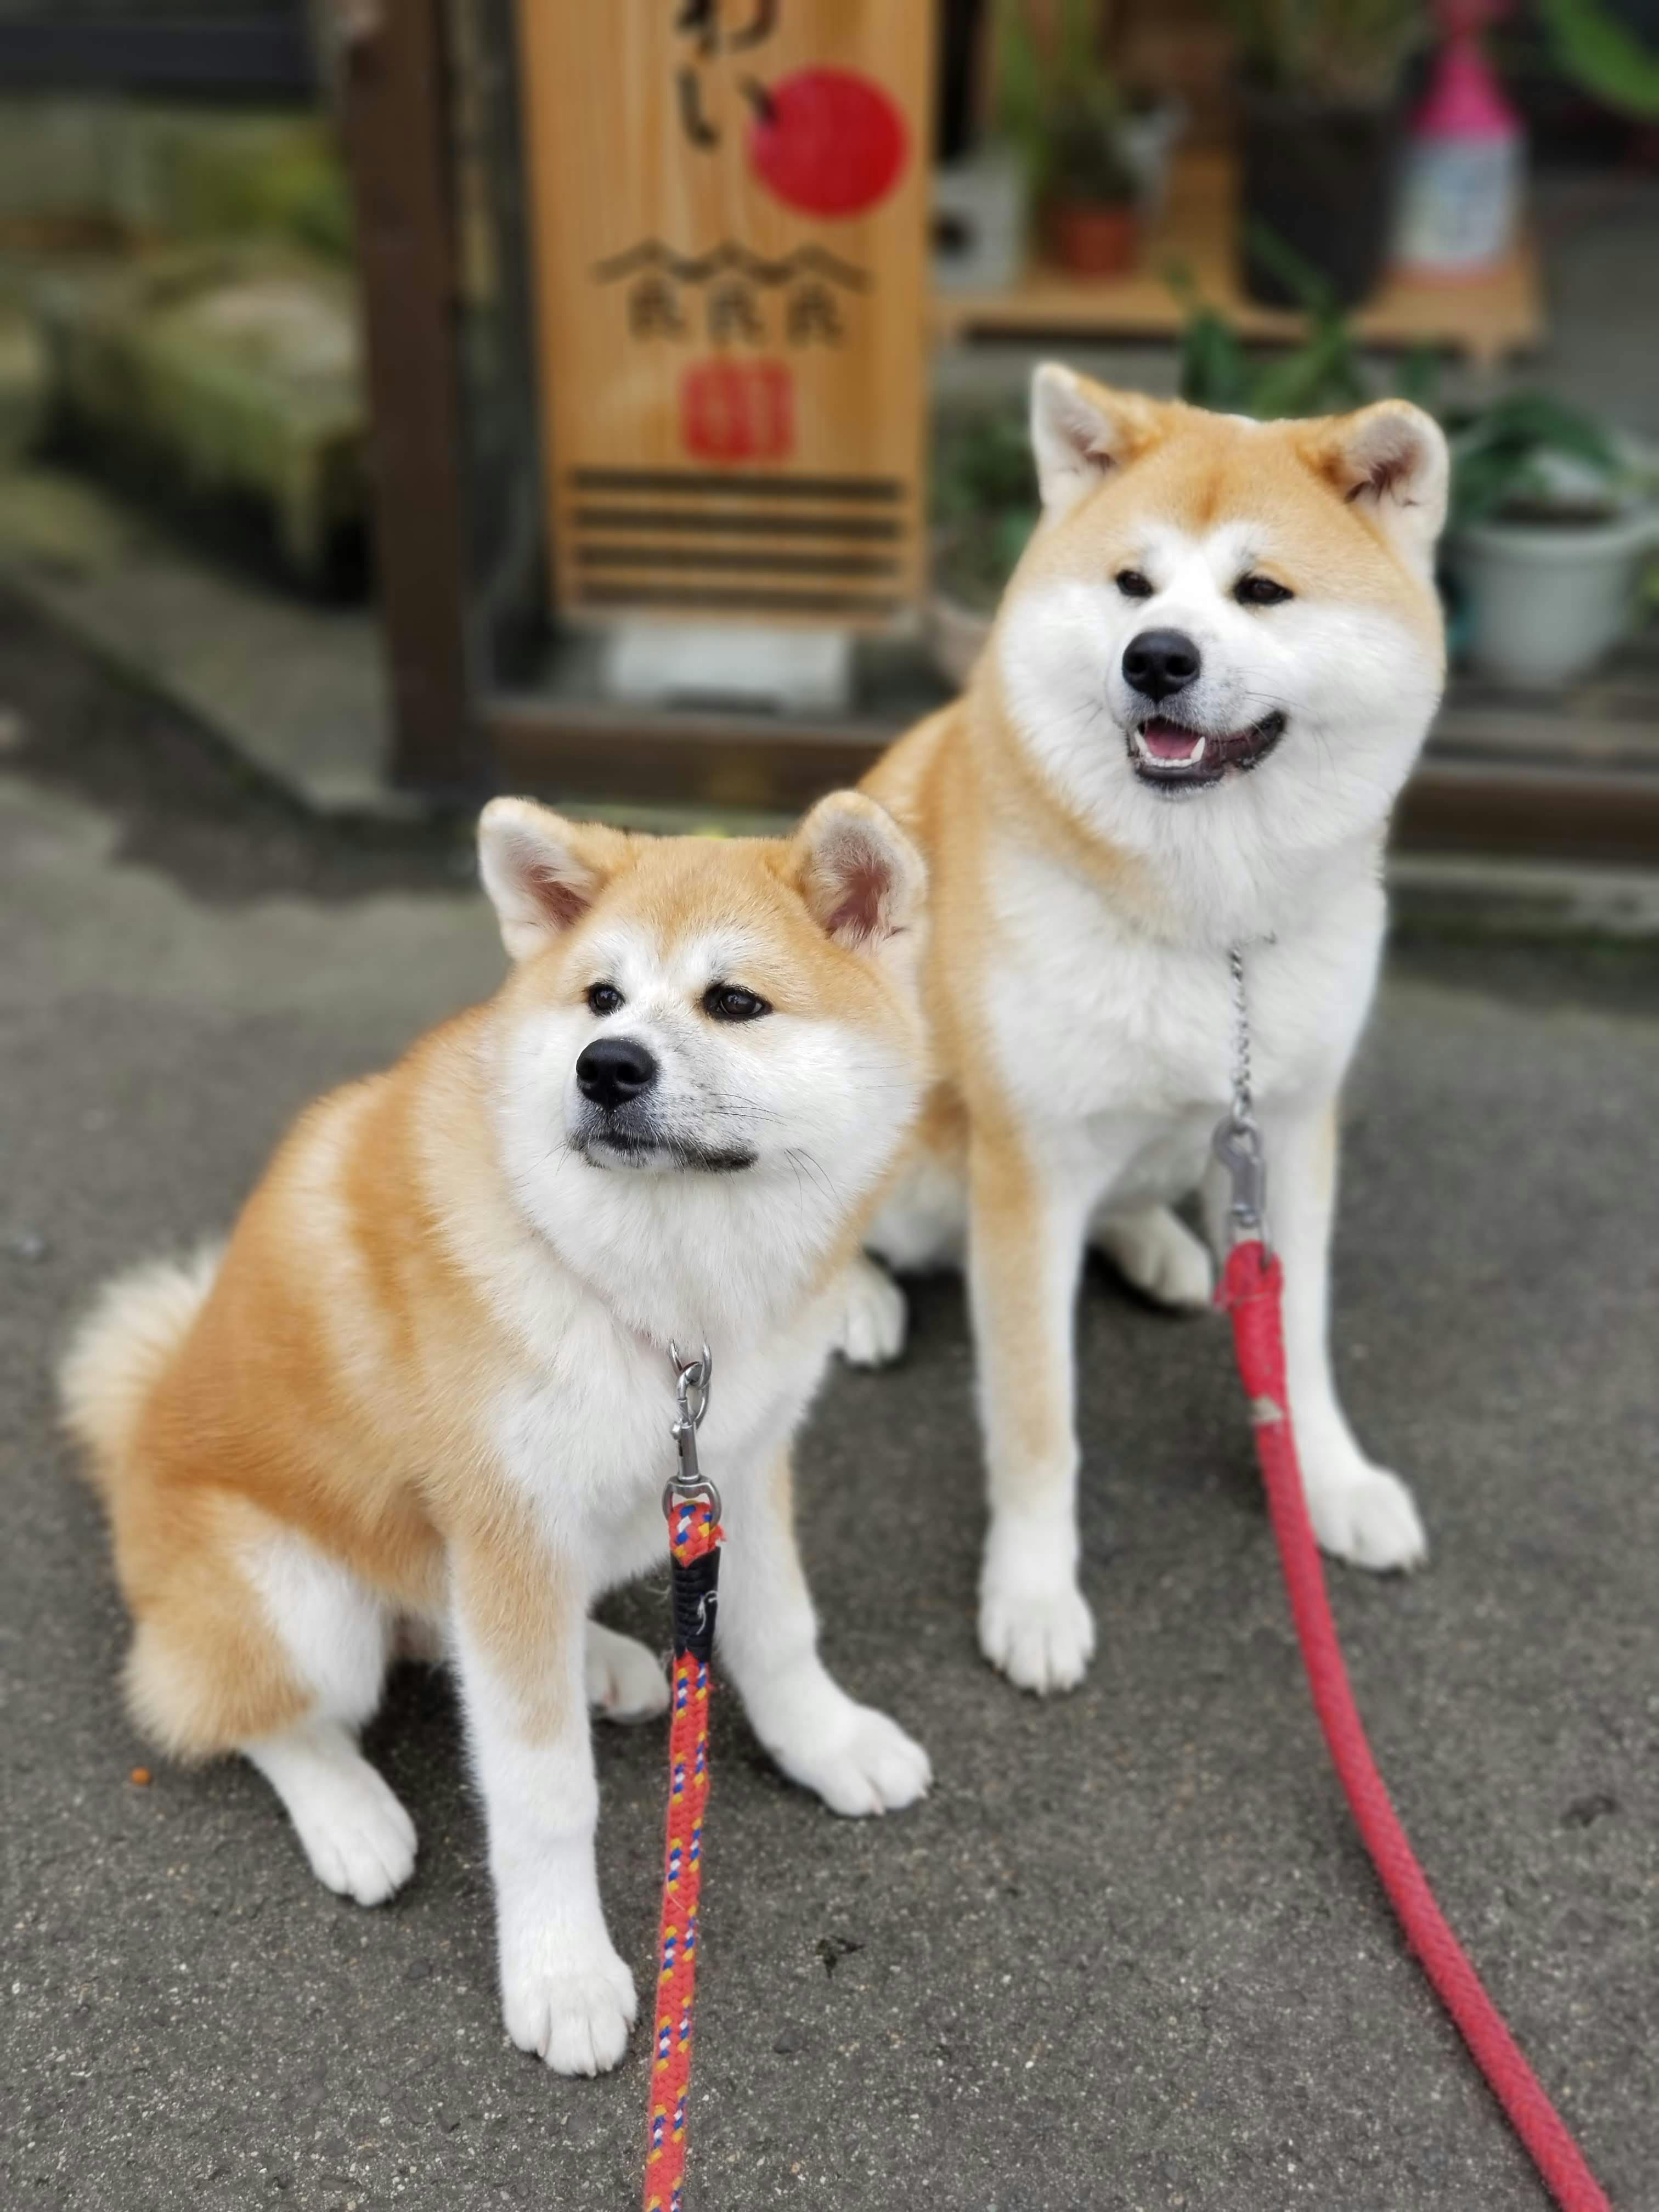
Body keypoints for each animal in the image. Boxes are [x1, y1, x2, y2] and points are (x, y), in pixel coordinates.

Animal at [58, 792, 938, 2070]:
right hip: (297, 1598)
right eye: (601, 998)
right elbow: (540, 1790)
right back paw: (351, 1812)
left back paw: (603, 1660)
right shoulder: (508, 1526)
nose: (606, 1068)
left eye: (733, 1002)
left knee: (442, 1628)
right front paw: (561, 1972)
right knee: (250, 1709)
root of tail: (132, 1445)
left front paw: (826, 1741)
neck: (666, 1297)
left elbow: (778, 1634)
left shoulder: (733, 1462)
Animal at [858, 371, 1451, 1699]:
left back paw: (1168, 1253)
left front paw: (1330, 1484)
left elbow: (1301, 1338)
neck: (1208, 926)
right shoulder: (1026, 1173)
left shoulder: (1286, 1129)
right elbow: (1038, 1426)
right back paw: (857, 1302)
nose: (1157, 657)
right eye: (1131, 585)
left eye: (1260, 591)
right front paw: (1032, 1595)